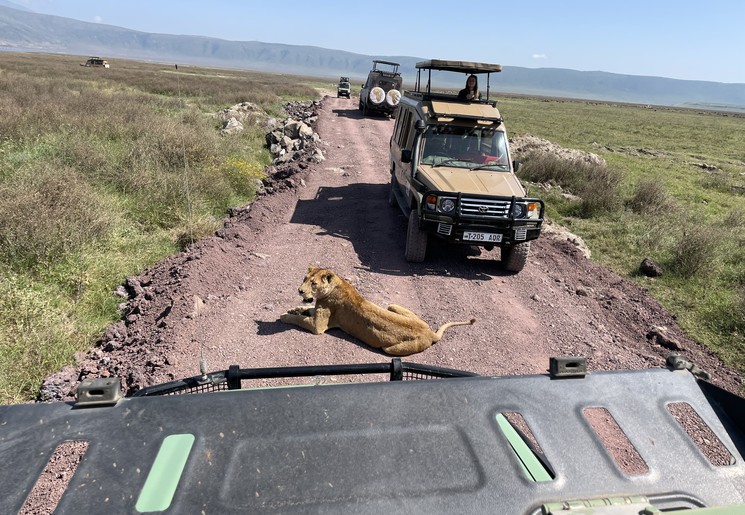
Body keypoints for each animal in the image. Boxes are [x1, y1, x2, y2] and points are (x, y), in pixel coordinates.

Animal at [280, 266, 476, 354]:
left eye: (313, 283)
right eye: (304, 278)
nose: (300, 290)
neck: (336, 284)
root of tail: (430, 332)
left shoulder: (318, 326)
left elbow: (300, 320)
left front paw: (285, 316)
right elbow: (306, 308)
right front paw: (295, 308)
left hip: (390, 349)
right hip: (392, 305)